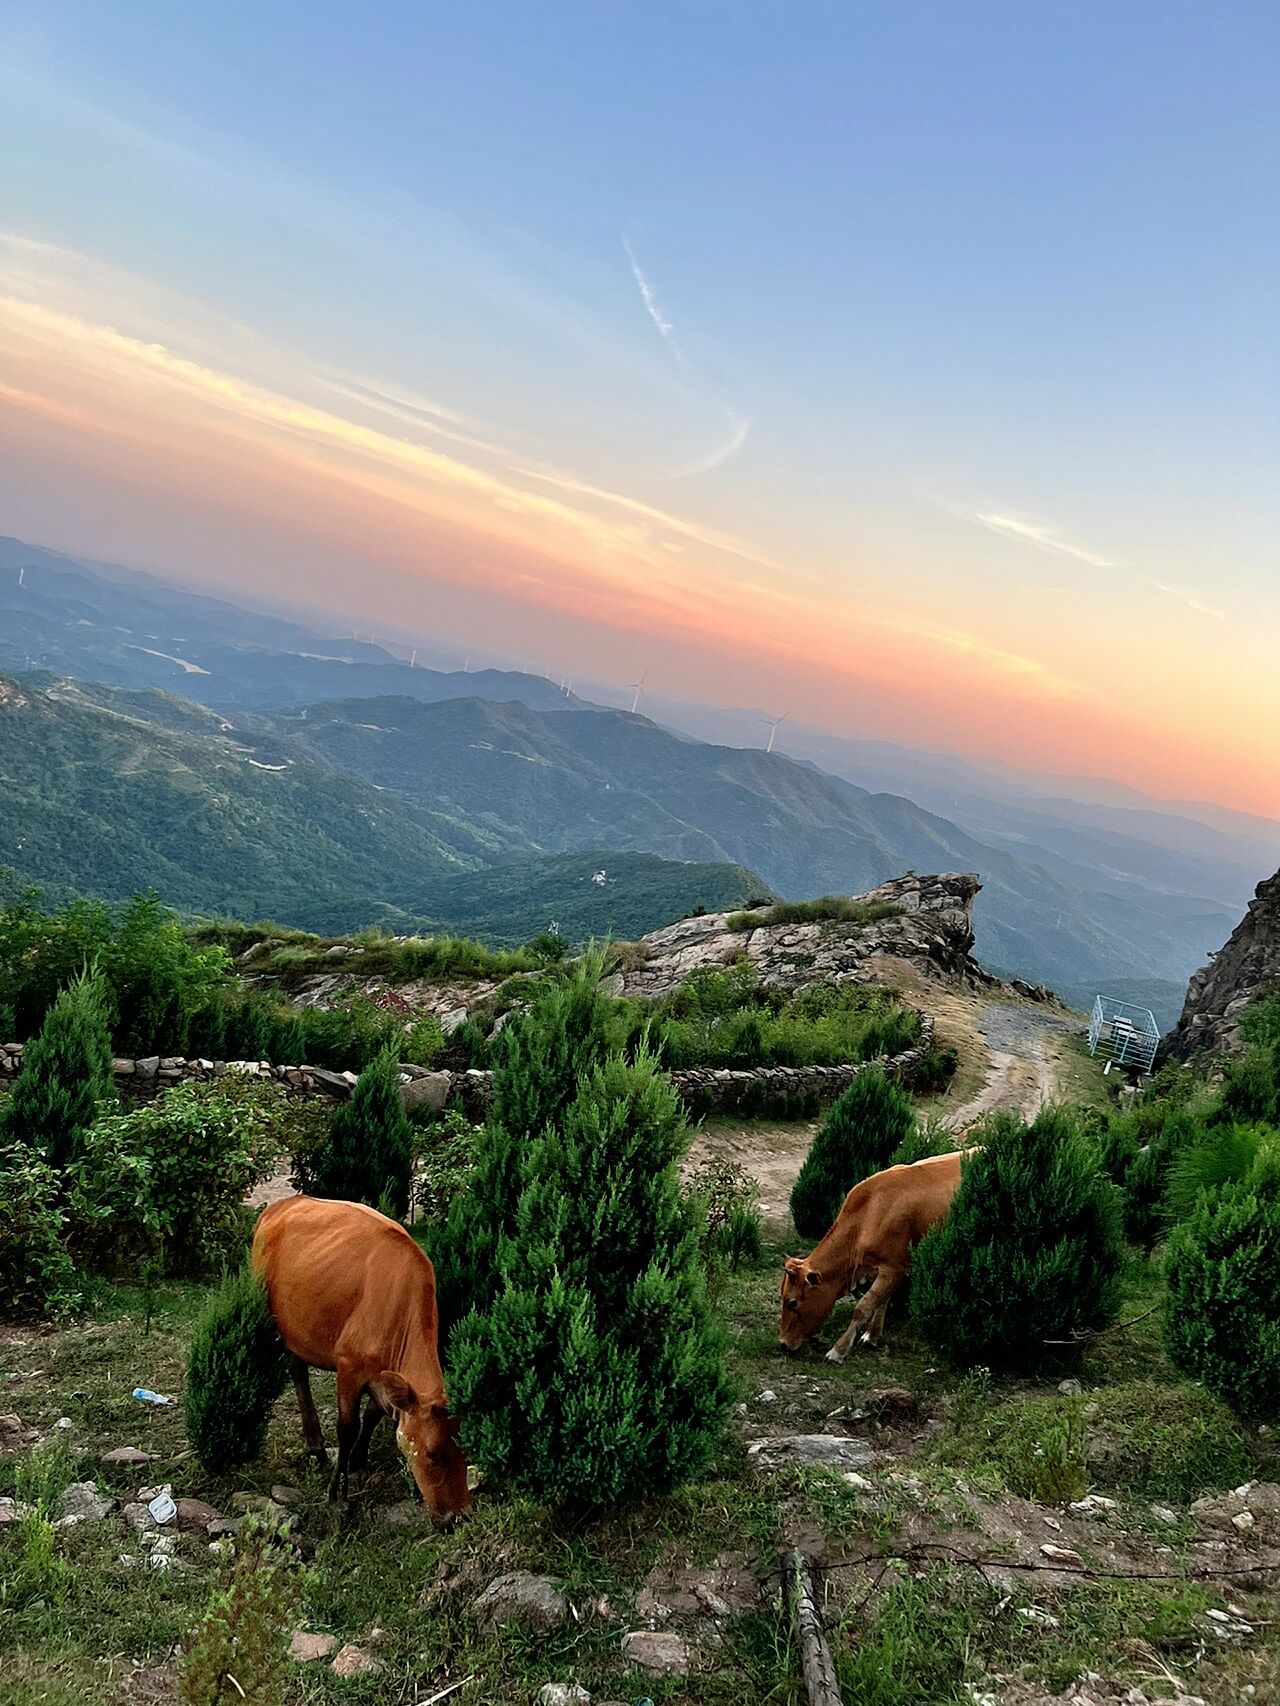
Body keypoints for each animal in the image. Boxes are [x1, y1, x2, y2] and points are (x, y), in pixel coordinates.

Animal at [252, 1194, 471, 1528]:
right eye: (432, 1453)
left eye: (469, 1451)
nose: (457, 1518)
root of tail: (285, 1202)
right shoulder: (349, 1366)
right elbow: (347, 1427)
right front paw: (337, 1492)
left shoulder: (385, 1378)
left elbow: (371, 1415)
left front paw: (358, 1458)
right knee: (298, 1372)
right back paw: (315, 1444)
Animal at [778, 1146, 969, 1357]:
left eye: (792, 1302)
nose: (783, 1343)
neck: (870, 1212)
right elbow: (881, 1300)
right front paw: (872, 1335)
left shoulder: (895, 1268)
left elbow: (863, 1307)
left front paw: (838, 1350)